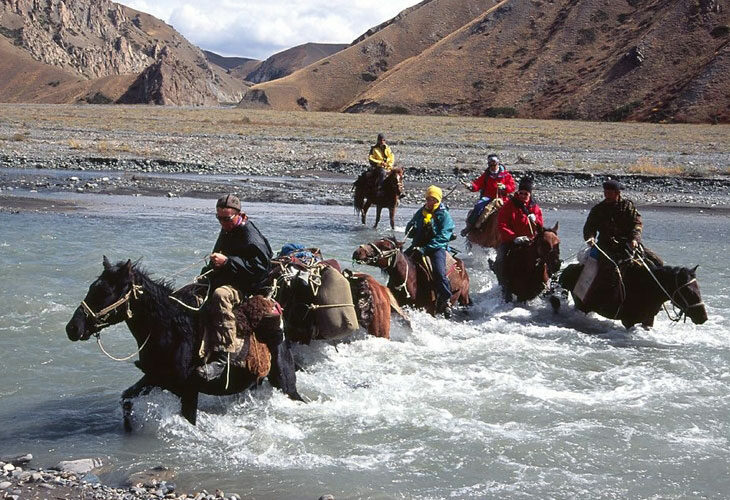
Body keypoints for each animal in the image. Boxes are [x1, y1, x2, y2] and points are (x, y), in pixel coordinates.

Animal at [64, 258, 300, 430]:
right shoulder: (154, 378)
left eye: (104, 292)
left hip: (286, 383)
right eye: (92, 288)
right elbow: (126, 400)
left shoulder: (188, 391)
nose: (72, 328)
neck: (170, 330)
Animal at [556, 256, 704, 330]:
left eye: (698, 288)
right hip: (581, 305)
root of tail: (570, 268)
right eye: (688, 291)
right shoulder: (628, 321)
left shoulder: (648, 321)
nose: (703, 317)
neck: (649, 289)